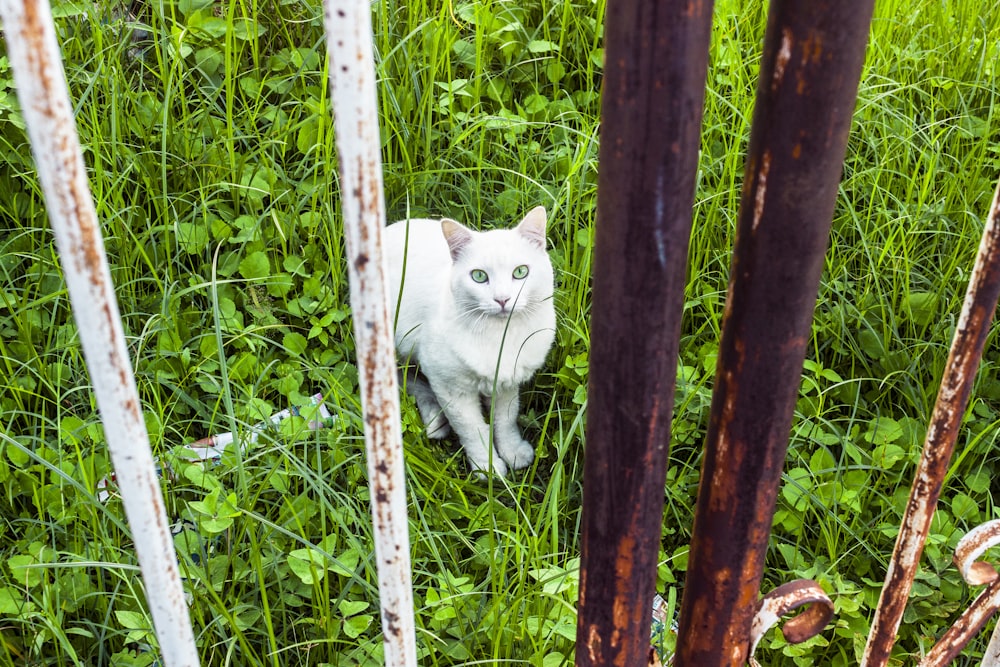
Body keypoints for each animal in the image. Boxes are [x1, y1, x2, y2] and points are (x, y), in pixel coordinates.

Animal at [384, 207, 560, 474]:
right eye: (479, 276)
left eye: (521, 272)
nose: (502, 299)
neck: (500, 336)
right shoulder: (451, 389)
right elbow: (473, 430)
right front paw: (487, 468)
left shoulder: (508, 383)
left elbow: (506, 420)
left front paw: (513, 452)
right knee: (408, 382)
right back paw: (435, 418)